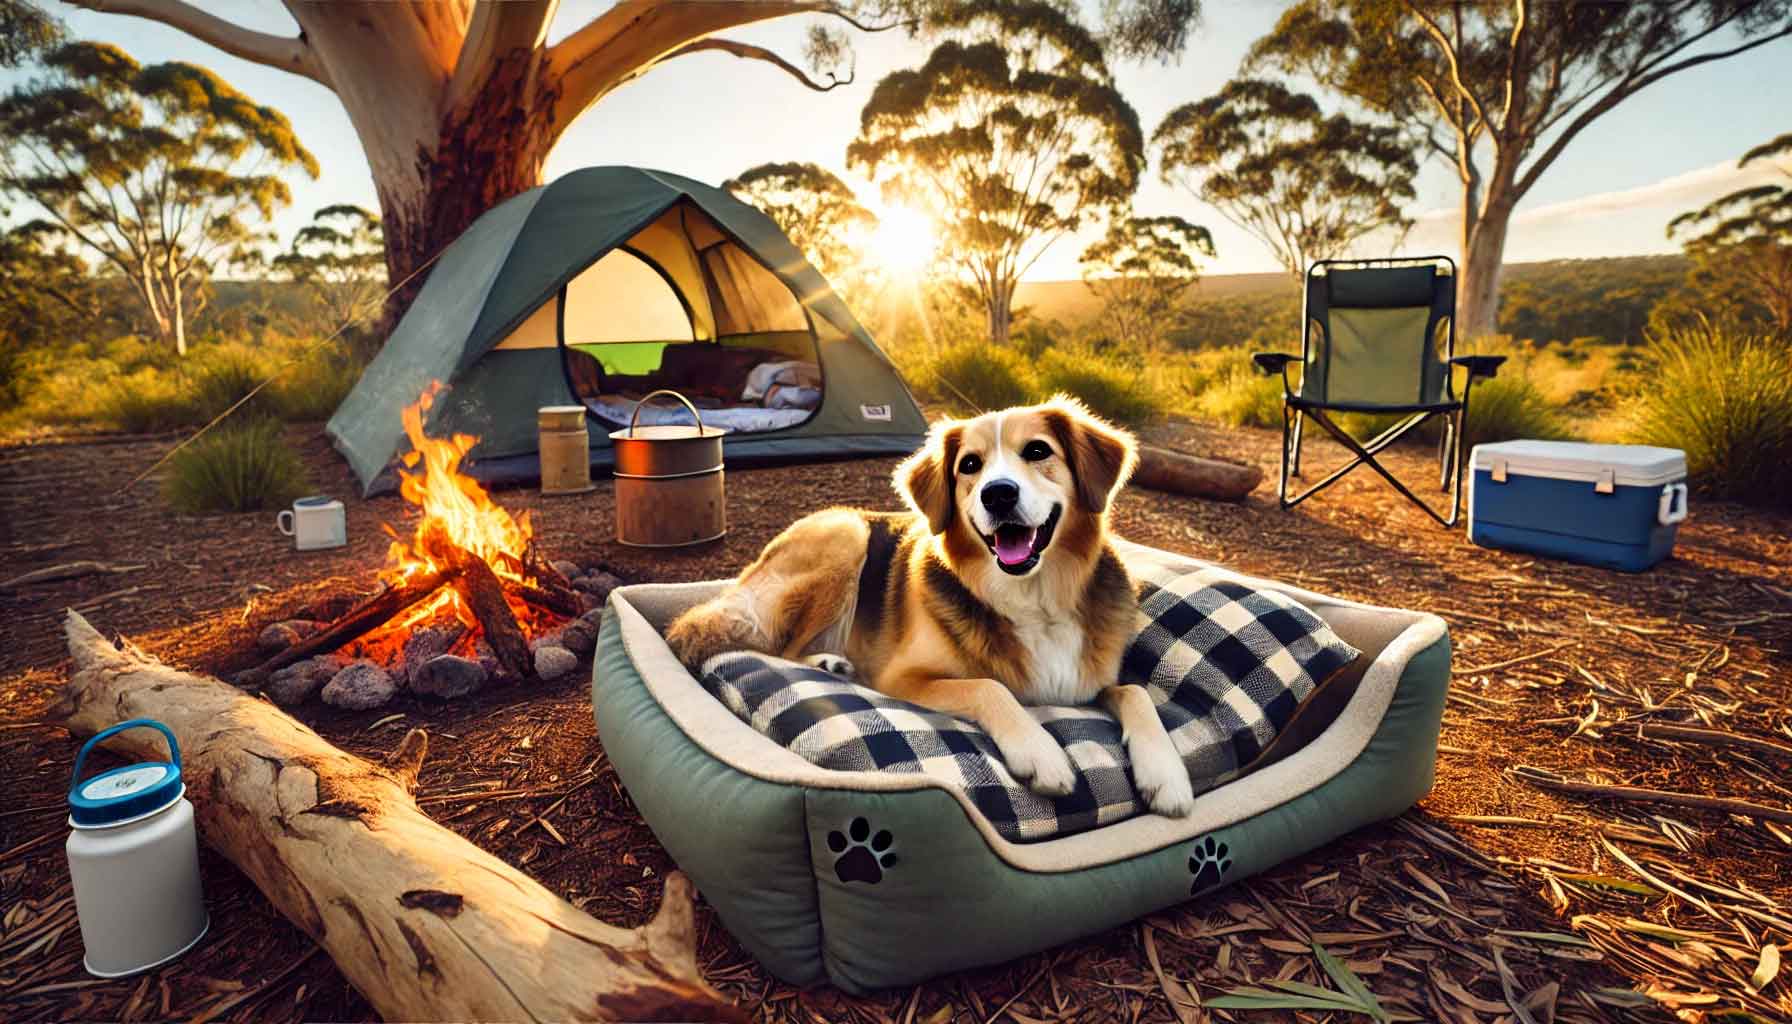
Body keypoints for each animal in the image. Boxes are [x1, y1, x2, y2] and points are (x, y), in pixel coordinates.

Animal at [666, 392, 1197, 817]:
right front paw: (1040, 751)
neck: (1034, 597)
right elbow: (989, 686)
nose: (998, 495)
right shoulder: (902, 678)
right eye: (970, 465)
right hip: (846, 534)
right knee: (780, 648)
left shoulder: (1090, 684)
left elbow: (1136, 692)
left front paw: (1166, 773)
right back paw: (829, 663)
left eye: (1038, 451)